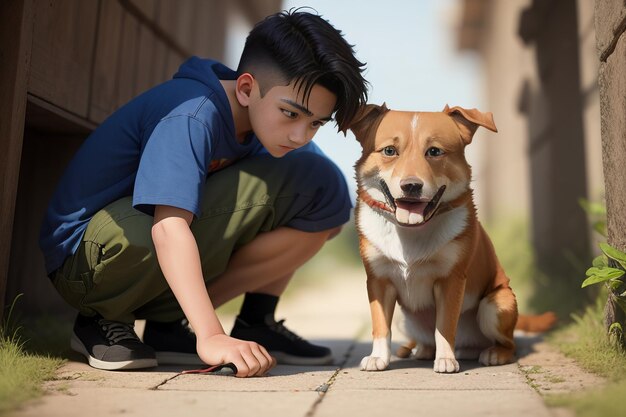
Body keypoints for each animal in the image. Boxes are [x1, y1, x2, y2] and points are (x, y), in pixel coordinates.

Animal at [348, 102, 552, 372]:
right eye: (390, 150)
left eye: (434, 151)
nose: (411, 186)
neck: (411, 230)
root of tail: (470, 345)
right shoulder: (378, 280)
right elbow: (380, 326)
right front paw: (378, 357)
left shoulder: (450, 280)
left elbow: (444, 326)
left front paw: (446, 359)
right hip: (404, 318)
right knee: (423, 339)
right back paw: (423, 351)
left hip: (495, 304)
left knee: (510, 343)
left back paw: (493, 354)